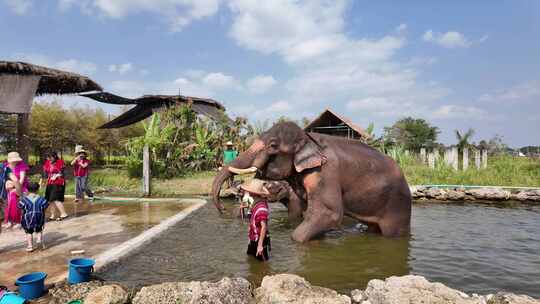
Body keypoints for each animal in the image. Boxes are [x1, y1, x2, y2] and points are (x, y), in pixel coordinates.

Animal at [211, 121, 410, 242]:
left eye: (273, 146)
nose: (222, 210)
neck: (308, 138)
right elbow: (311, 213)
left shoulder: (325, 172)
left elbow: (328, 212)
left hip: (397, 206)